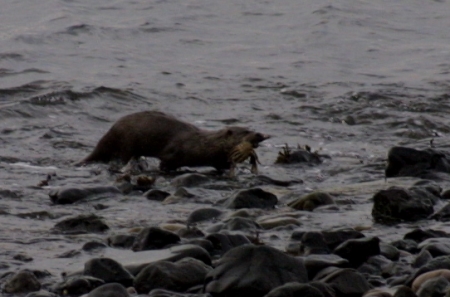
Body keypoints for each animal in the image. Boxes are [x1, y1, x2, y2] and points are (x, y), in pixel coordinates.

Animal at [75, 110, 268, 172]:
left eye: (252, 128)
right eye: (246, 132)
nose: (260, 134)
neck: (203, 146)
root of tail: (112, 130)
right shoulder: (173, 152)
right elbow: (166, 162)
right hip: (126, 143)